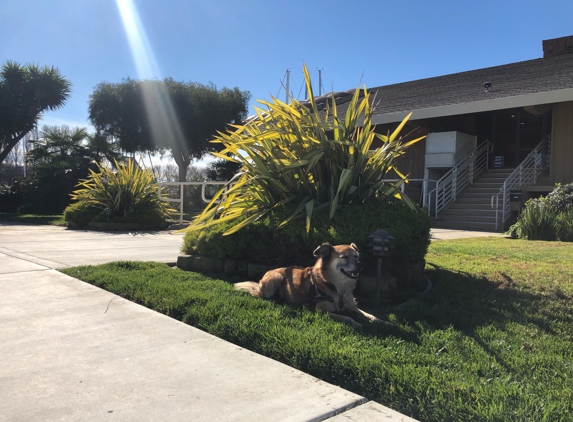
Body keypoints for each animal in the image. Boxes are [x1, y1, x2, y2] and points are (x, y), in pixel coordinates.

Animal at [232, 242, 388, 328]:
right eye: (344, 257)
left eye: (357, 257)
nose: (360, 265)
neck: (336, 285)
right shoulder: (322, 311)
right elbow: (347, 317)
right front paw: (357, 324)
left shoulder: (352, 307)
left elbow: (371, 315)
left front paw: (385, 323)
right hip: (275, 279)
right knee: (258, 295)